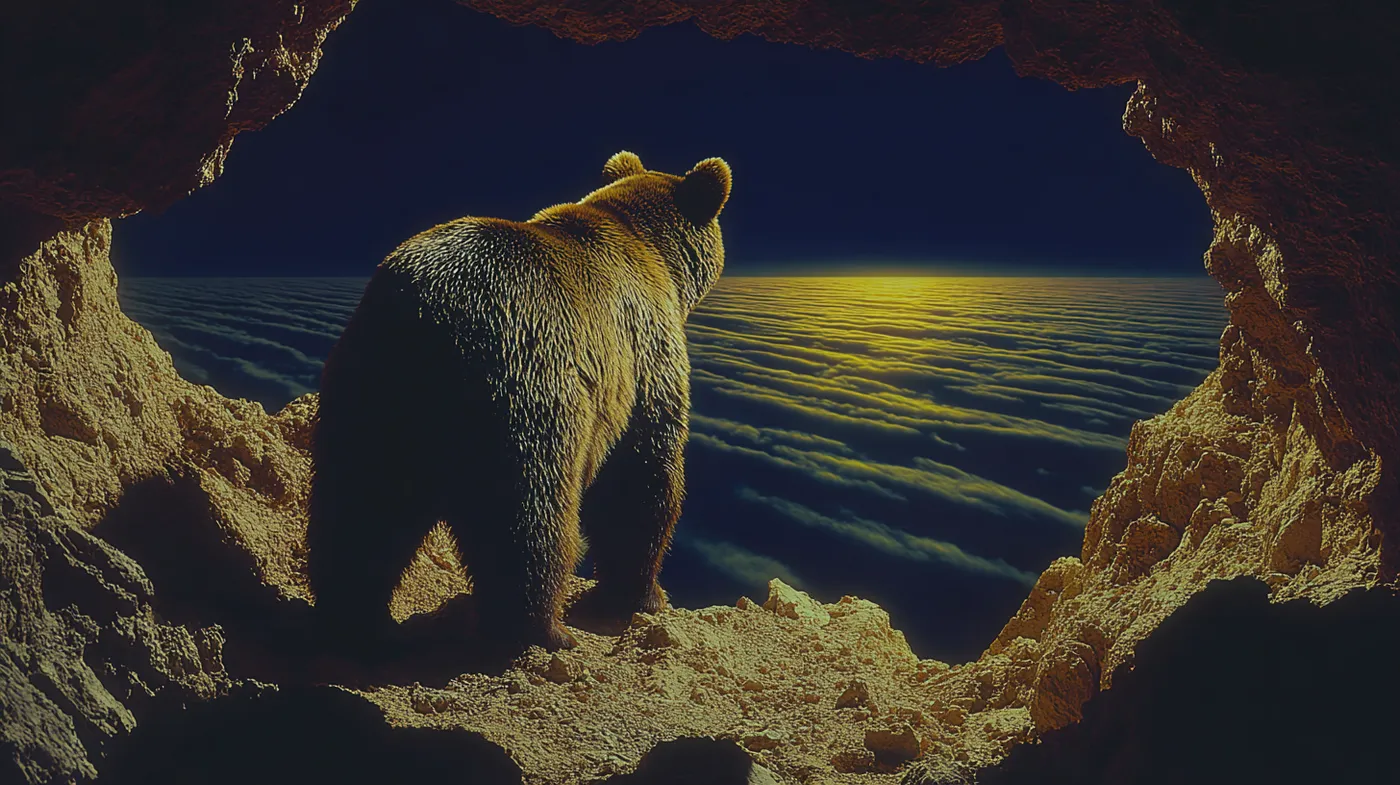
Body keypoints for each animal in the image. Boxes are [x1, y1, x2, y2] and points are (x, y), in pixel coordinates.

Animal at [306, 151, 731, 657]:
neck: (653, 251)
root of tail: (427, 319)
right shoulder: (642, 355)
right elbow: (640, 476)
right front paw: (638, 595)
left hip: (371, 389)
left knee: (360, 505)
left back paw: (358, 621)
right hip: (523, 381)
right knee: (527, 513)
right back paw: (541, 629)